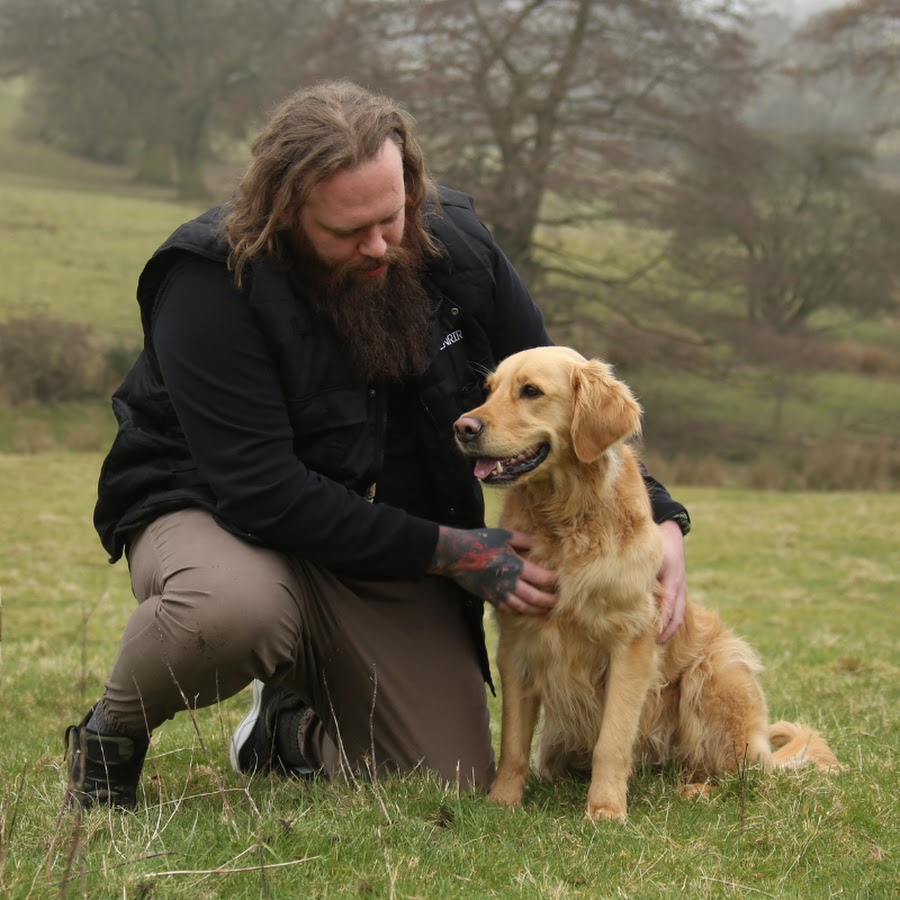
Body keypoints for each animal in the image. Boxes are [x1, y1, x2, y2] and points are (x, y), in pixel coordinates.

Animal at [454, 346, 840, 824]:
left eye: (531, 391)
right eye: (488, 390)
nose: (462, 428)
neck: (565, 516)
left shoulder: (631, 645)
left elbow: (612, 741)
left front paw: (605, 809)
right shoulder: (517, 645)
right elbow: (512, 743)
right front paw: (501, 802)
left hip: (716, 674)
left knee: (740, 776)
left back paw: (696, 789)